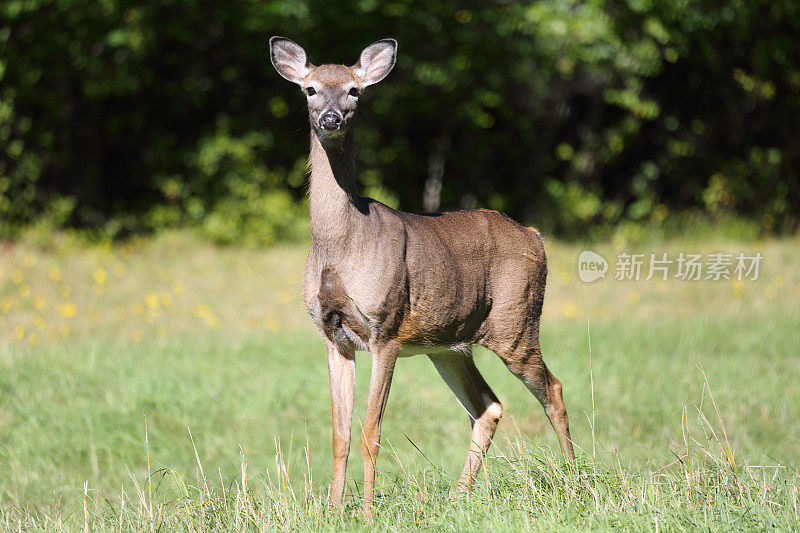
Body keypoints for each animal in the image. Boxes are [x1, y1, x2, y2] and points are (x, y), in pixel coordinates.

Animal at [268, 35, 576, 512]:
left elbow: (370, 434)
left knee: (554, 390)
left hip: (516, 322)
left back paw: (578, 481)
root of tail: (534, 234)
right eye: (310, 89)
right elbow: (339, 435)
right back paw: (460, 497)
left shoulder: (387, 329)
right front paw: (334, 510)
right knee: (488, 406)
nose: (331, 118)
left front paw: (367, 512)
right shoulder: (333, 335)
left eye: (355, 91)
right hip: (448, 344)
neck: (341, 246)